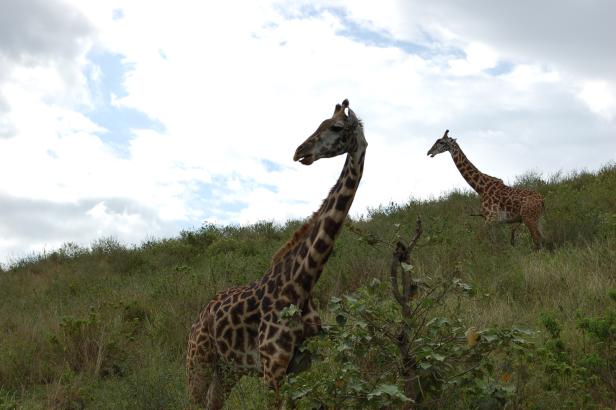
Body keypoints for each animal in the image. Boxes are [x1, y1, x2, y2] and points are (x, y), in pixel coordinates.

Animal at [185, 98, 368, 406]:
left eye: (335, 126)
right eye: (320, 123)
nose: (300, 151)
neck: (301, 284)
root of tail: (200, 316)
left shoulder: (299, 366)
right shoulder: (271, 372)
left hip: (229, 370)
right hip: (198, 362)